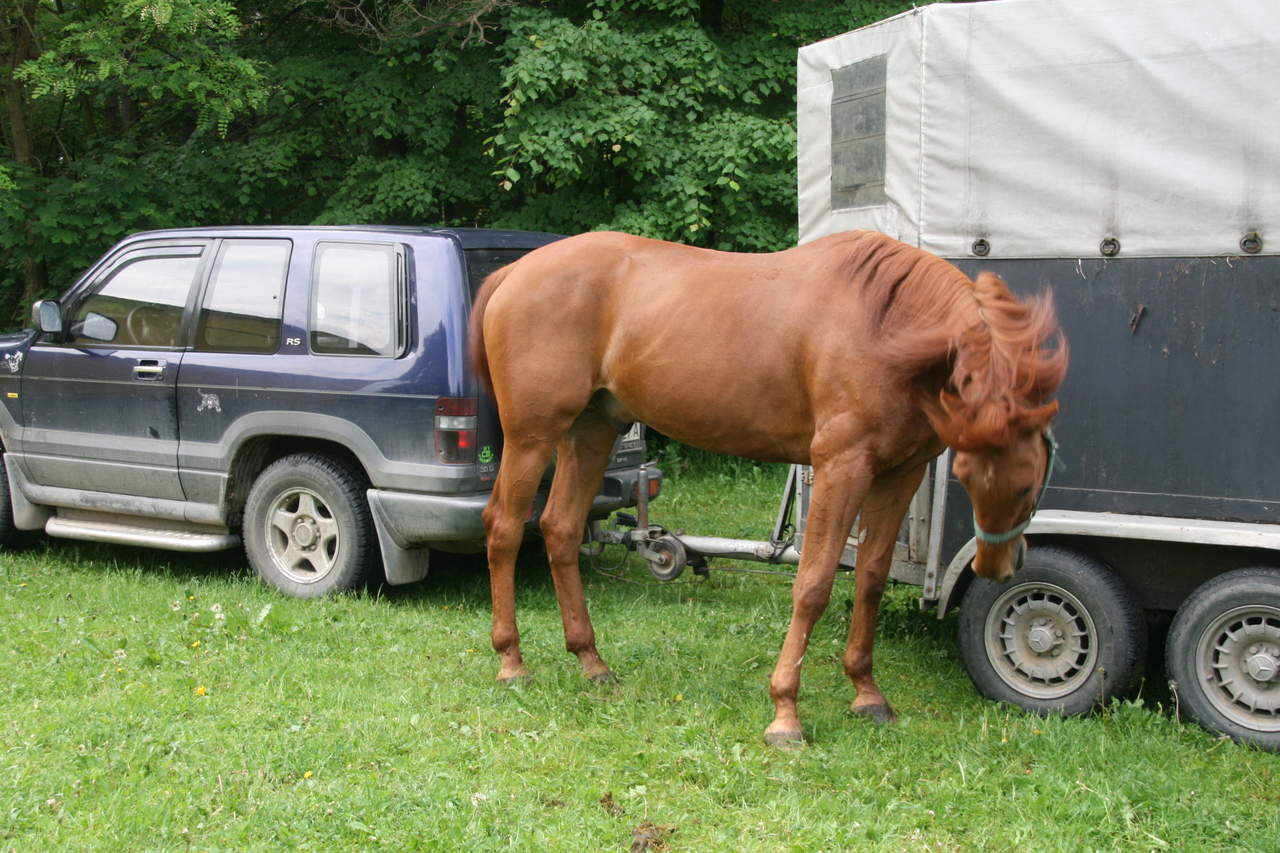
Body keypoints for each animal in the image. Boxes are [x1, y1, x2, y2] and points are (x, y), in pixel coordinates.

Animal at [471, 229, 1070, 742]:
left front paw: (867, 694)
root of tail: (515, 272)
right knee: (504, 528)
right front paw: (786, 714)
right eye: (969, 473)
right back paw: (512, 662)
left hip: (590, 431)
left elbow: (871, 579)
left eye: (1032, 478)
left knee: (560, 529)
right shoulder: (841, 466)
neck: (888, 324)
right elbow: (813, 584)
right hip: (533, 436)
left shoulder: (900, 472)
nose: (998, 567)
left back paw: (592, 662)